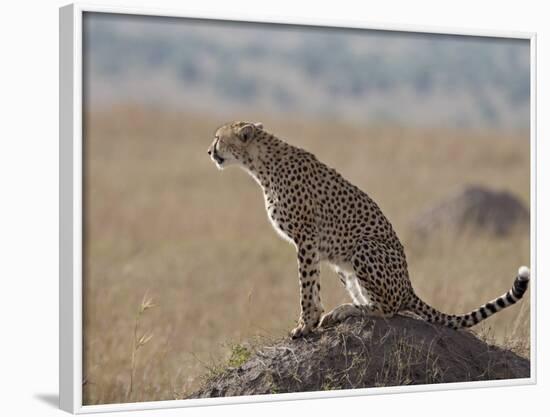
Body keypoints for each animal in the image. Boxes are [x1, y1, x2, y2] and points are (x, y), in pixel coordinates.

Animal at [207, 122, 532, 336]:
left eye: (218, 138)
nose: (209, 151)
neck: (261, 164)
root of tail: (409, 287)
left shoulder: (306, 239)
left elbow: (306, 285)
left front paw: (305, 324)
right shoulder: (312, 245)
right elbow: (313, 286)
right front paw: (312, 320)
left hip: (364, 247)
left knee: (388, 309)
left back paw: (344, 310)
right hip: (343, 263)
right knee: (381, 304)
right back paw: (344, 310)